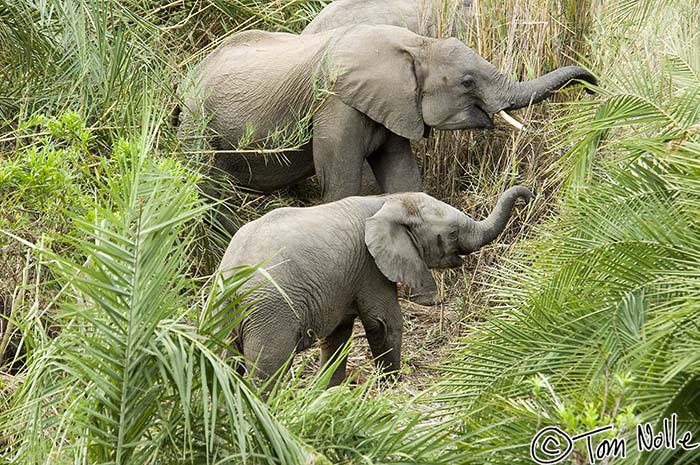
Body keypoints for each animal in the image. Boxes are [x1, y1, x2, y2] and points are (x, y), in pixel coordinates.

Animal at [178, 23, 592, 201]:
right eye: (467, 82)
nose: (593, 84)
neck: (417, 43)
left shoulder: (395, 105)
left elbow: (402, 174)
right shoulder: (337, 104)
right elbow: (340, 183)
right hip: (197, 122)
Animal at [217, 185, 532, 384]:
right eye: (452, 233)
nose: (528, 196)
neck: (389, 200)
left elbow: (339, 335)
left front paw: (328, 393)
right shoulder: (370, 267)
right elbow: (383, 323)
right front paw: (391, 386)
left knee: (223, 361)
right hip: (270, 313)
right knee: (267, 369)